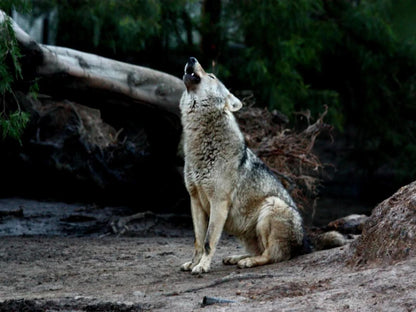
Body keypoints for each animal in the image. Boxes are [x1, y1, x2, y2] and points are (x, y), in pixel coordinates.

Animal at [180, 57, 304, 274]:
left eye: (211, 76)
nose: (191, 58)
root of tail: (303, 243)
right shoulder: (194, 200)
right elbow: (197, 241)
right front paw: (194, 263)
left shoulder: (219, 202)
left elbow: (209, 241)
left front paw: (202, 266)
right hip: (245, 232)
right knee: (259, 251)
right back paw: (236, 258)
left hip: (271, 206)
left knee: (272, 256)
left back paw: (248, 262)